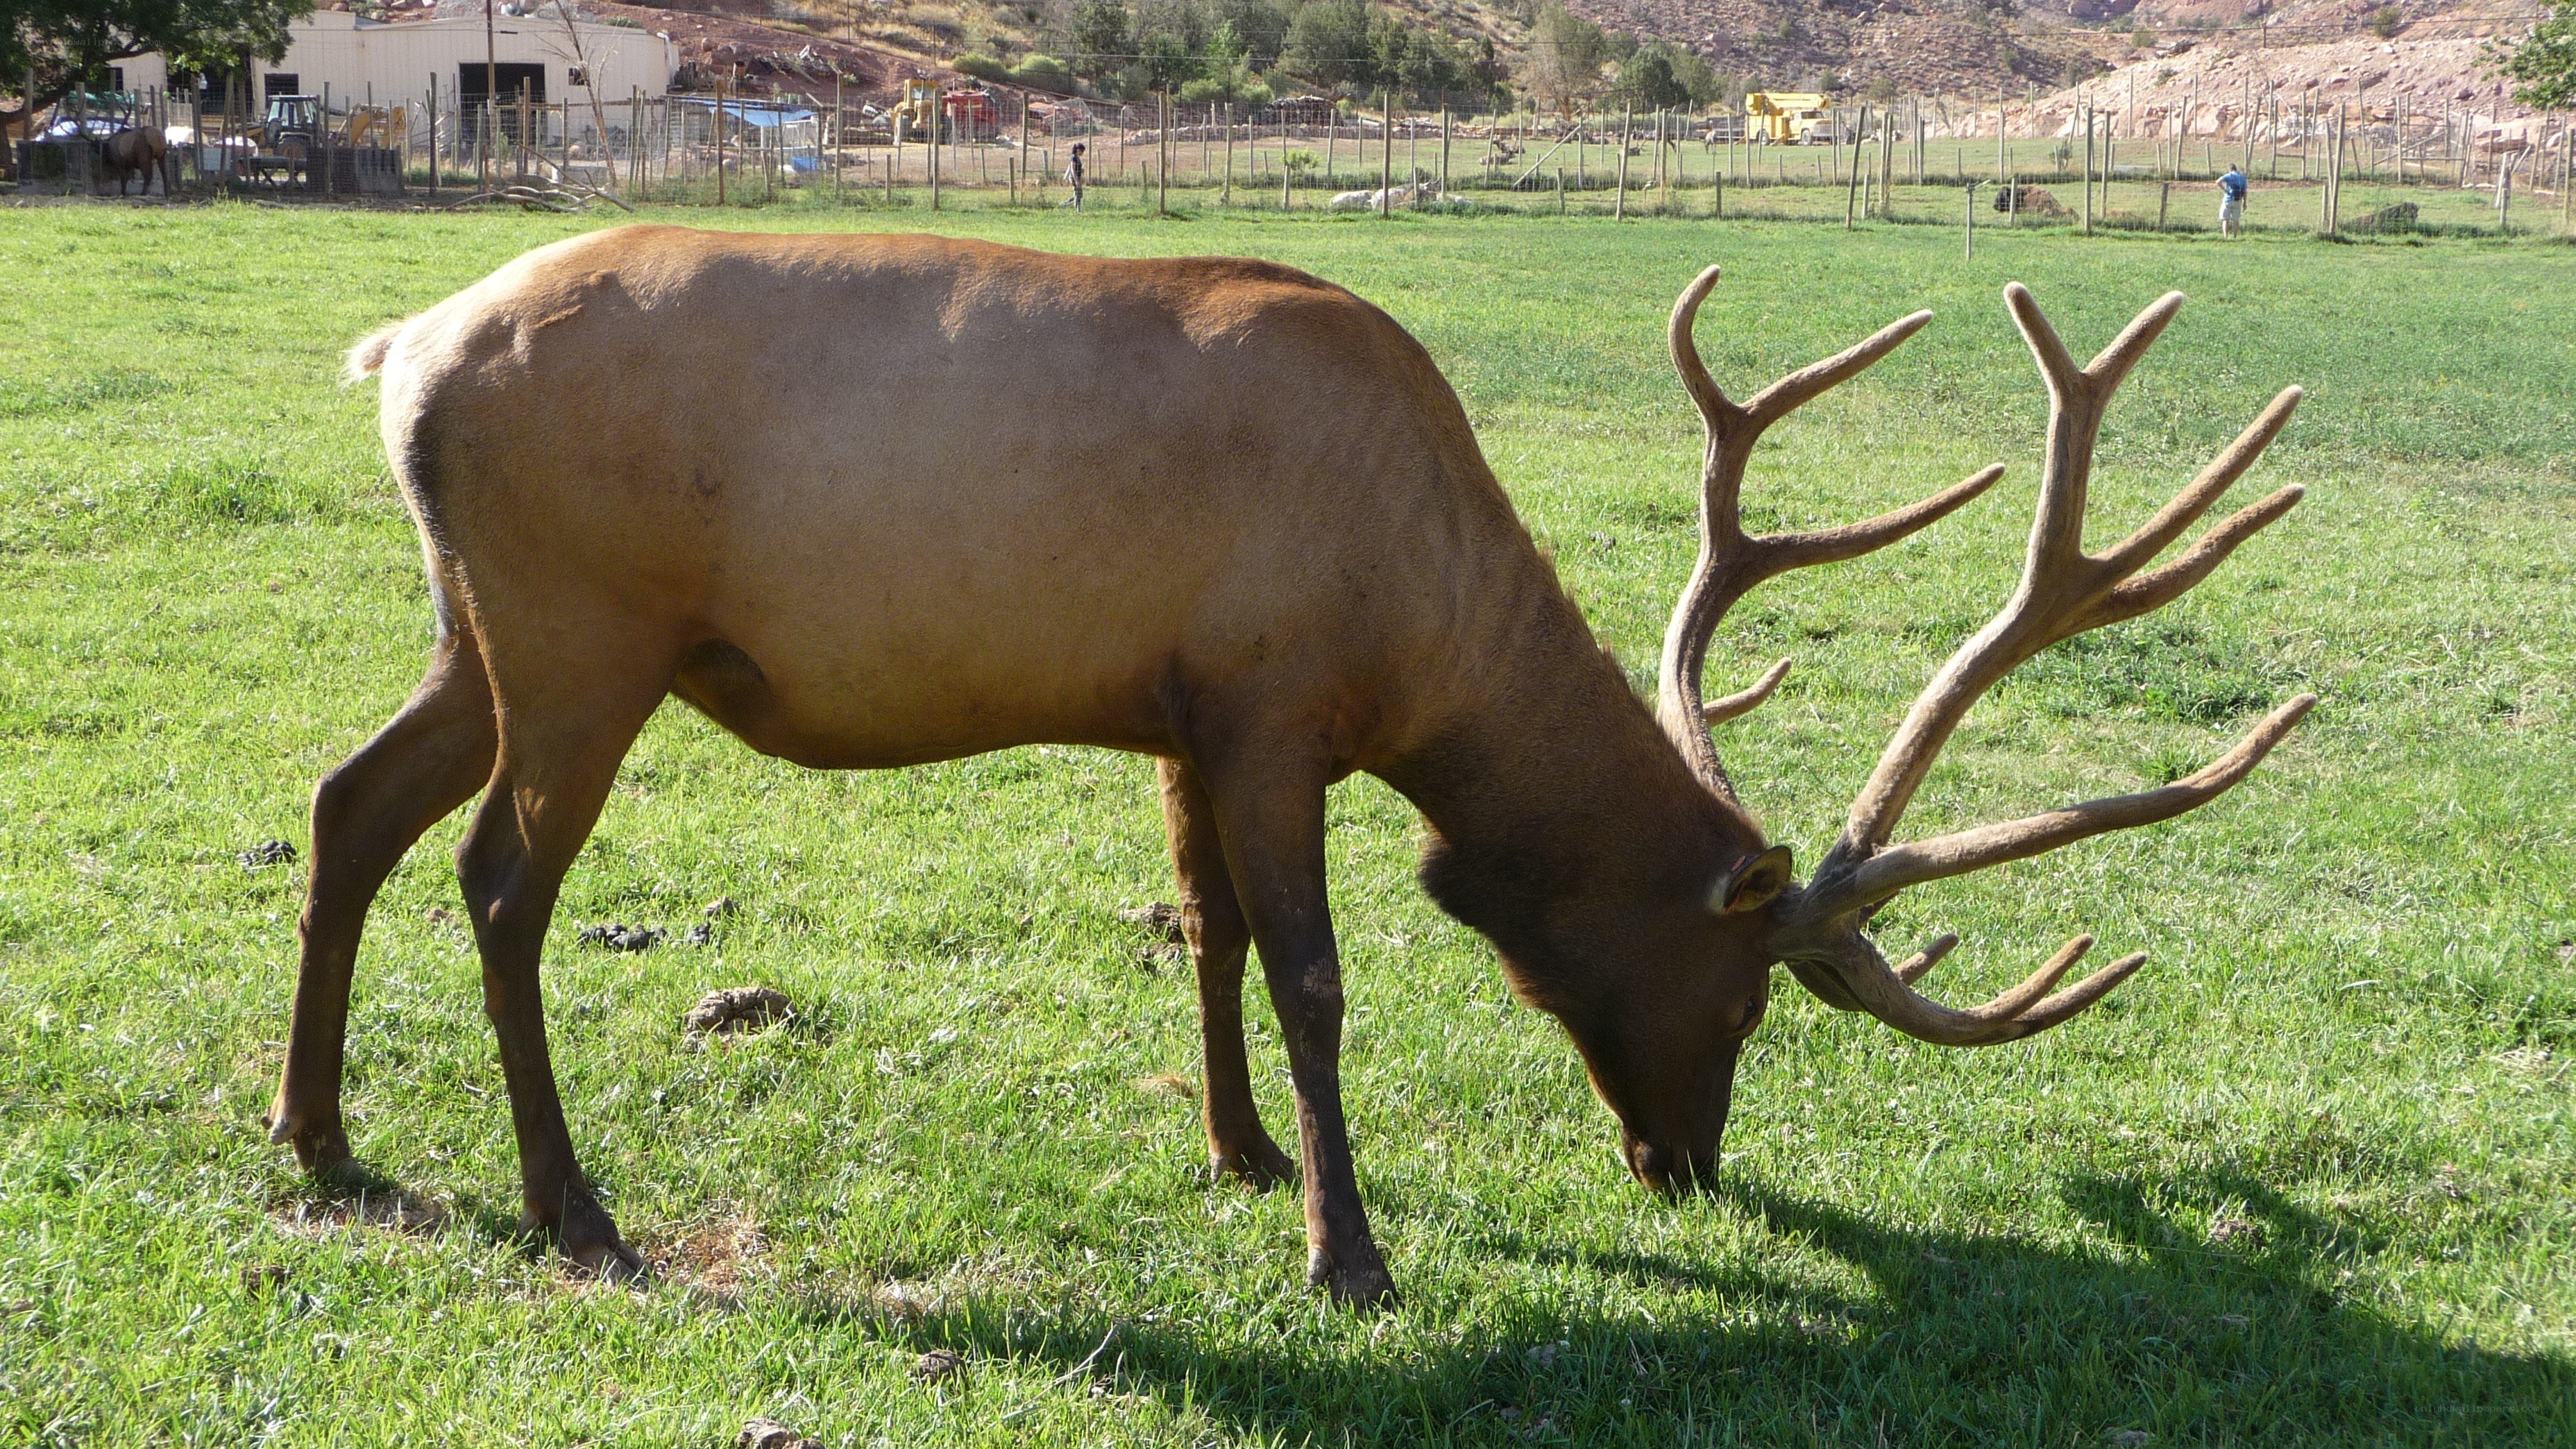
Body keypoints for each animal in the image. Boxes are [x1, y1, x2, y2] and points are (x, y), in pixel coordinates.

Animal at [286, 226, 2311, 1308]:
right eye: (1743, 998)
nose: (1685, 1168)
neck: (1428, 658)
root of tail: (400, 354)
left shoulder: (1186, 715)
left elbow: (1210, 934)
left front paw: (1241, 1154)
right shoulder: (1275, 705)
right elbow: (1318, 972)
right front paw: (1352, 1246)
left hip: (479, 631)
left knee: (348, 804)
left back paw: (319, 1140)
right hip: (584, 632)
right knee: (497, 880)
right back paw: (572, 1206)